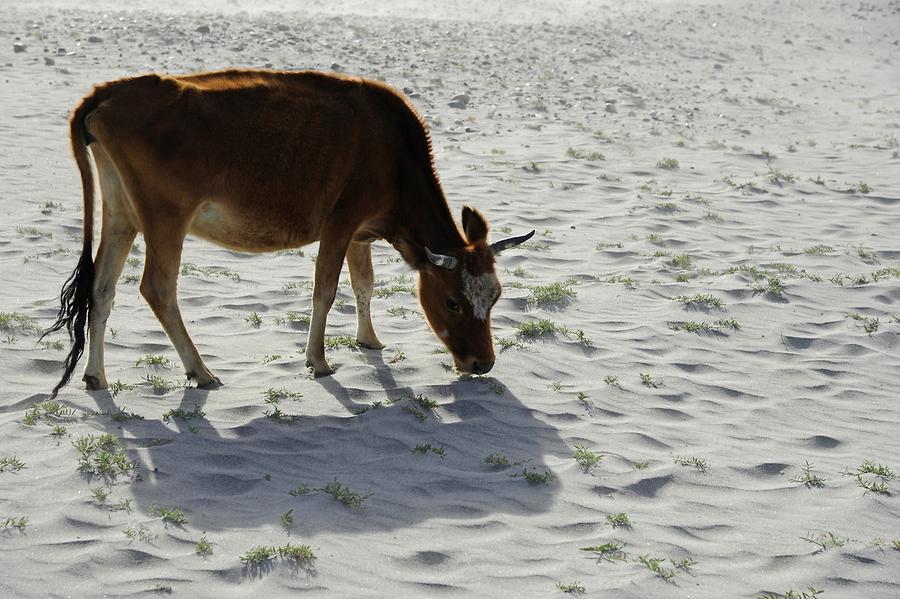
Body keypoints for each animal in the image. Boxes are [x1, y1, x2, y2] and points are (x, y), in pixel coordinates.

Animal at [42, 69, 532, 398]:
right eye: (453, 302)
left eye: (495, 298)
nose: (483, 363)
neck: (395, 156)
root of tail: (114, 89)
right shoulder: (340, 222)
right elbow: (326, 290)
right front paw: (318, 361)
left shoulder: (360, 234)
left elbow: (364, 284)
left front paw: (369, 340)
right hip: (166, 217)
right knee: (157, 288)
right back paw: (200, 371)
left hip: (120, 214)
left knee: (102, 288)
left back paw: (96, 376)